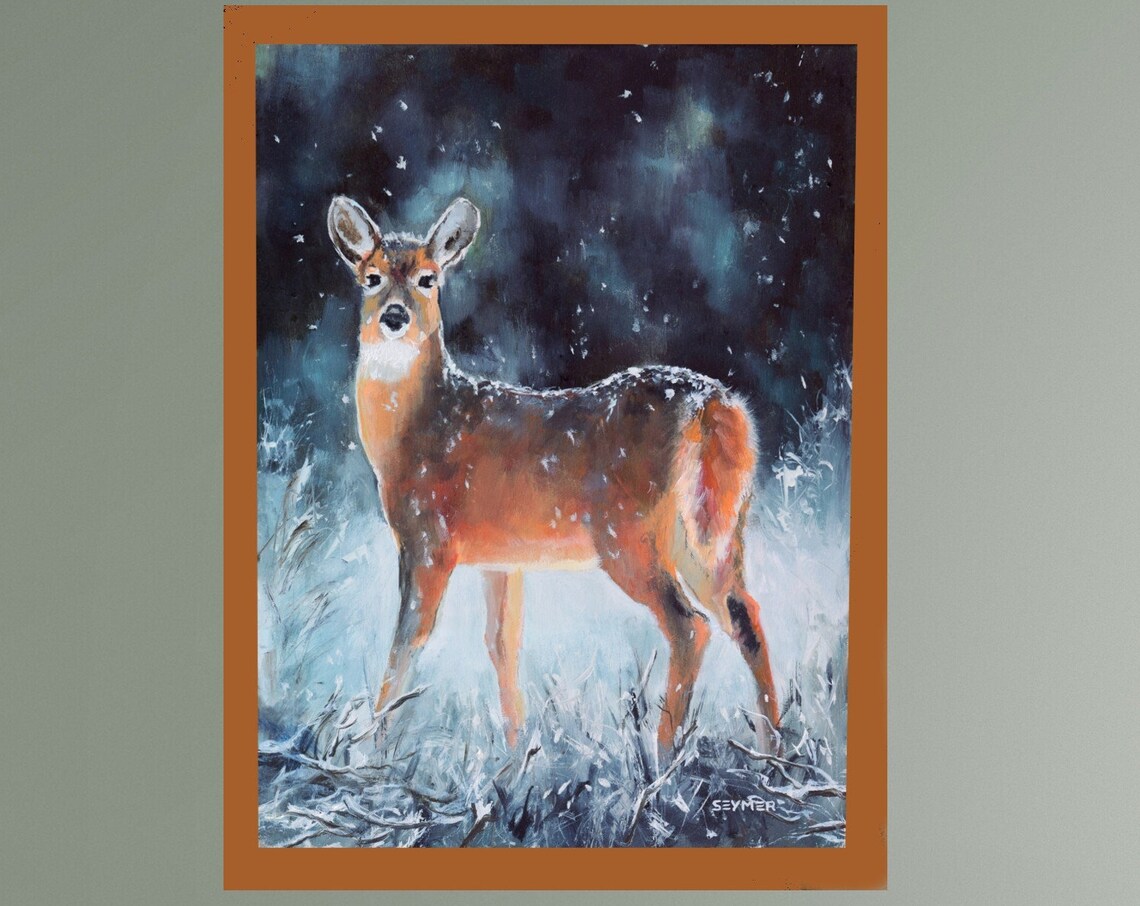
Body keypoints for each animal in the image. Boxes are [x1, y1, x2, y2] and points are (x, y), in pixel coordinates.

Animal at [327, 194, 781, 753]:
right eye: (370, 278)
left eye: (428, 279)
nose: (394, 315)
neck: (415, 431)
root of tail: (713, 405)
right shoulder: (500, 559)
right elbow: (502, 645)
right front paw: (515, 752)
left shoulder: (427, 538)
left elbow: (407, 641)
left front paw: (372, 749)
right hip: (713, 527)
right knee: (745, 614)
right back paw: (773, 752)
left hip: (627, 533)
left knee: (690, 626)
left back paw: (661, 754)